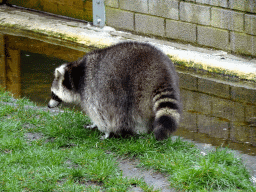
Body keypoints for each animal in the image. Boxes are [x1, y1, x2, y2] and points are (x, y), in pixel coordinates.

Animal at [48, 41, 182, 140]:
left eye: (53, 94)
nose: (48, 106)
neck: (76, 74)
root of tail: (161, 73)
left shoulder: (92, 88)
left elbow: (101, 114)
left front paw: (105, 130)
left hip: (136, 89)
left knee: (127, 112)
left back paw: (137, 130)